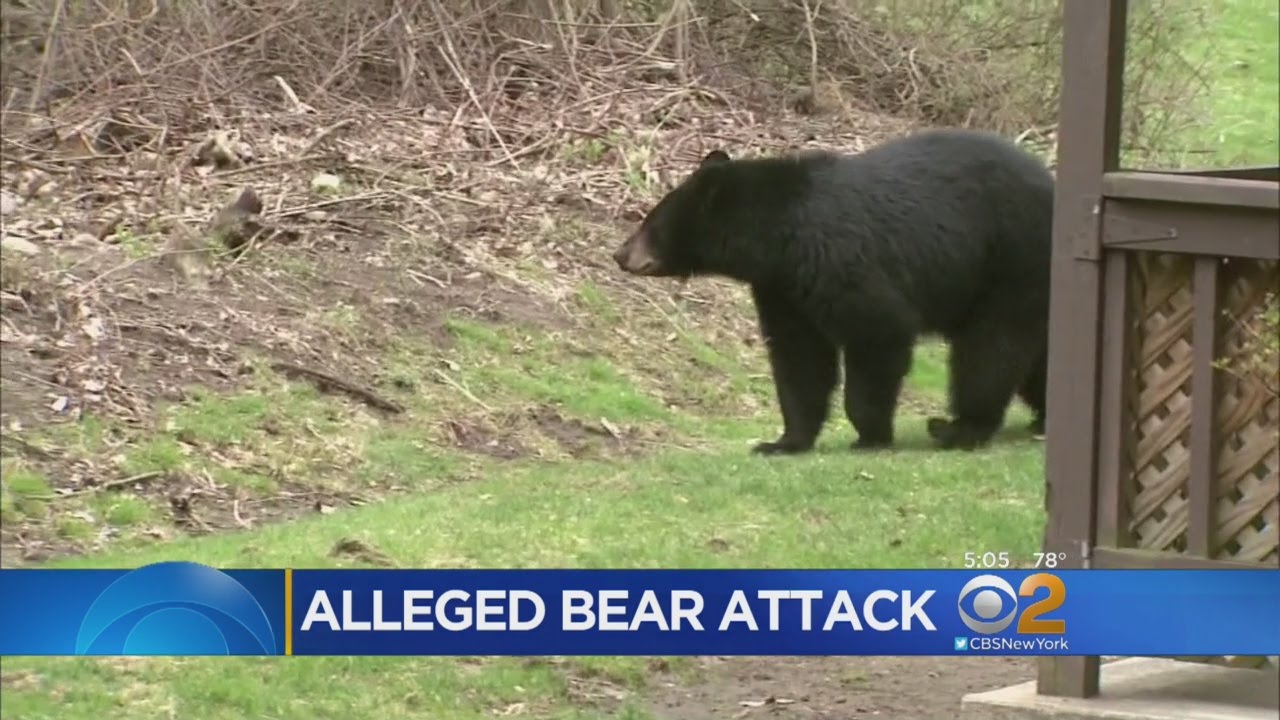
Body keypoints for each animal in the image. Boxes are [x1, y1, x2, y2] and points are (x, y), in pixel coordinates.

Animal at [612, 128, 1054, 454]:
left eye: (650, 222)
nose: (619, 254)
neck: (780, 237)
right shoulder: (782, 288)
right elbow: (799, 357)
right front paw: (783, 441)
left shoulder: (839, 261)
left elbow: (879, 332)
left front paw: (871, 435)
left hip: (1013, 260)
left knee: (991, 348)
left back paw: (959, 428)